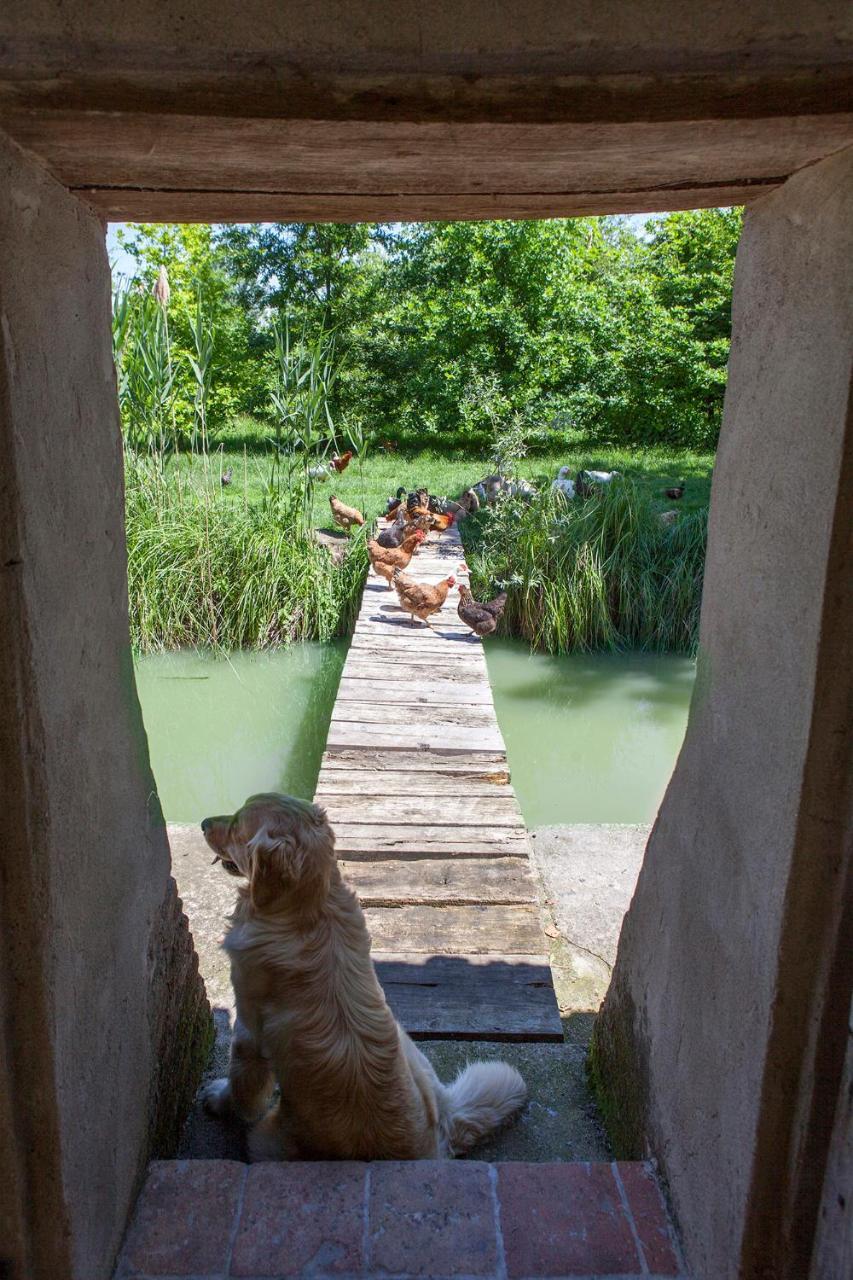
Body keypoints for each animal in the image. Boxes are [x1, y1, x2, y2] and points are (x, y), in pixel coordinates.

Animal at [201, 788, 525, 1162]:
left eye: (237, 825)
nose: (203, 823)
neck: (309, 911)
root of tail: (439, 1143)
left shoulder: (248, 1031)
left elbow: (242, 1090)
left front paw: (218, 1100)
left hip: (266, 1141)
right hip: (406, 1042)